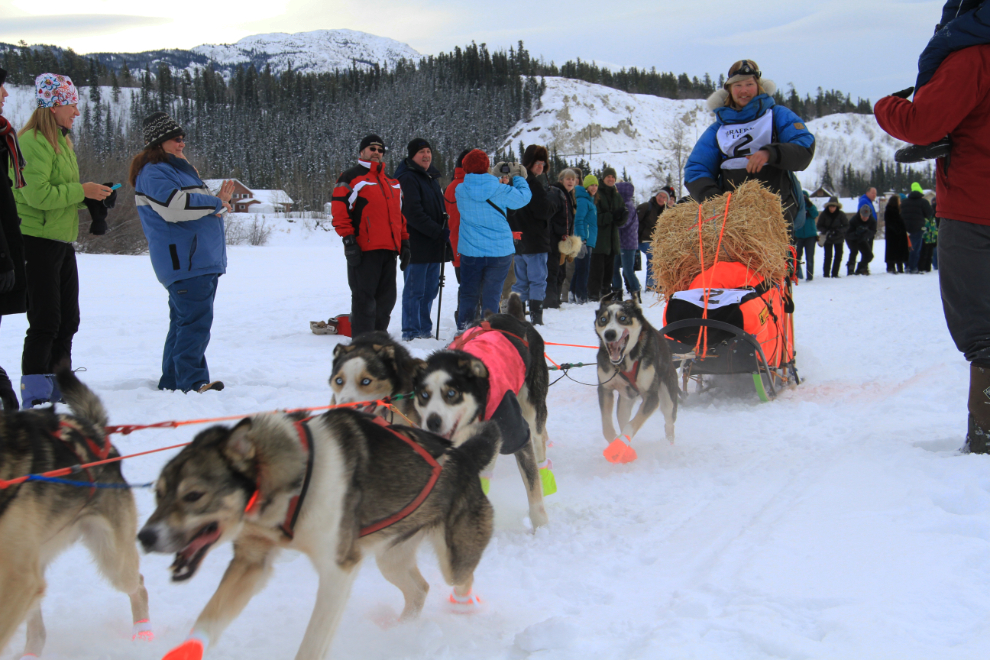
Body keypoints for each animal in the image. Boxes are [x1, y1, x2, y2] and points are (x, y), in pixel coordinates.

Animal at [0, 368, 151, 656]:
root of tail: (97, 435)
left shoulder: (18, 578)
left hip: (114, 559)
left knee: (138, 585)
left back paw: (143, 635)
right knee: (38, 631)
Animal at [140, 408, 496, 660]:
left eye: (193, 495)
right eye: (158, 493)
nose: (144, 537)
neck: (295, 479)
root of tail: (462, 455)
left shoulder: (339, 569)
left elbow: (312, 644)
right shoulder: (252, 560)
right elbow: (208, 621)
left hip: (453, 560)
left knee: (461, 580)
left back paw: (467, 608)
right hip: (391, 559)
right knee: (419, 589)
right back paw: (401, 629)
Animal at [410, 294, 552, 524]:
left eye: (452, 393)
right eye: (424, 395)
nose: (432, 422)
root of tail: (517, 317)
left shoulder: (516, 430)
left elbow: (532, 486)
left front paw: (540, 526)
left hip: (532, 408)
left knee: (539, 441)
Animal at [592, 292, 680, 466]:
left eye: (623, 318)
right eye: (603, 319)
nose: (609, 334)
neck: (625, 361)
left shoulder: (652, 397)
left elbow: (632, 425)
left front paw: (619, 445)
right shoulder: (605, 389)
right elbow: (608, 428)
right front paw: (617, 446)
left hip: (668, 399)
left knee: (669, 423)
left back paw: (669, 445)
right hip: (624, 404)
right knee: (623, 419)